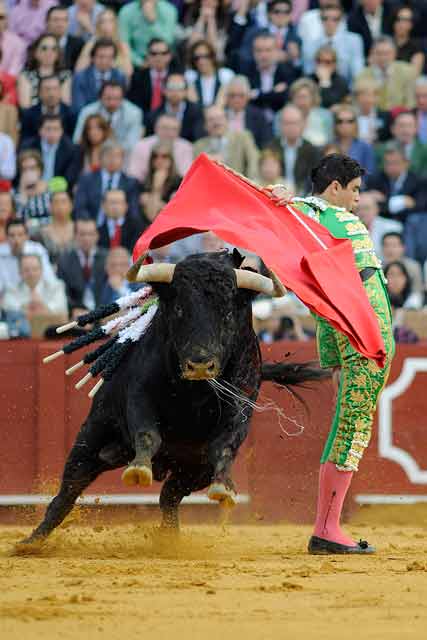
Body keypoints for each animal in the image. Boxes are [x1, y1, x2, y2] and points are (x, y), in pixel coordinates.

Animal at [20, 252, 328, 544]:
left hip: (191, 471)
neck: (193, 392)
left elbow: (224, 447)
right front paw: (139, 470)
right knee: (69, 489)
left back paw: (169, 538)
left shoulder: (239, 406)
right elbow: (147, 434)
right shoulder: (139, 395)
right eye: (180, 308)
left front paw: (224, 487)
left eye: (227, 314)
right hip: (92, 435)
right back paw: (30, 542)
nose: (200, 365)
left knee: (168, 496)